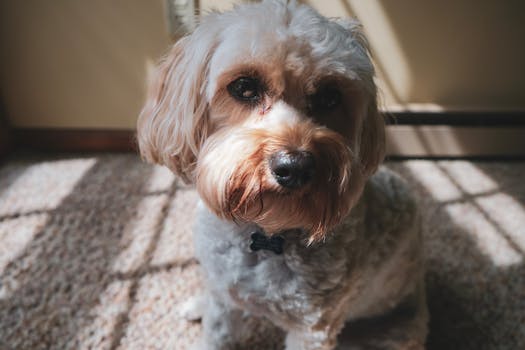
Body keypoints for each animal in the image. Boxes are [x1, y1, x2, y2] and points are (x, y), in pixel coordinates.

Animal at [137, 1, 428, 348]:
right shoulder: (224, 304)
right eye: (244, 87)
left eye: (331, 97)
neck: (265, 232)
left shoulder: (312, 329)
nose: (295, 167)